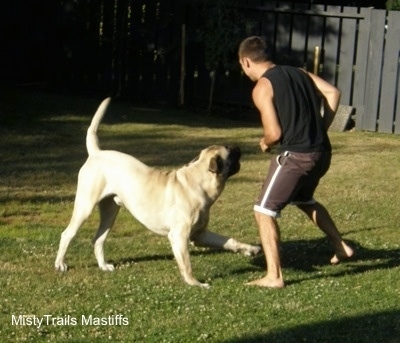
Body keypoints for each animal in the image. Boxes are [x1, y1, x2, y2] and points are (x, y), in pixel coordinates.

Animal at [54, 99, 260, 288]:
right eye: (231, 152)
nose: (239, 147)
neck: (196, 181)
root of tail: (96, 153)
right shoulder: (179, 237)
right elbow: (187, 265)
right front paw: (195, 283)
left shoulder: (200, 235)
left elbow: (229, 241)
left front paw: (251, 249)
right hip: (85, 206)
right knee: (67, 234)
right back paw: (60, 264)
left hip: (110, 211)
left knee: (98, 239)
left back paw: (104, 265)